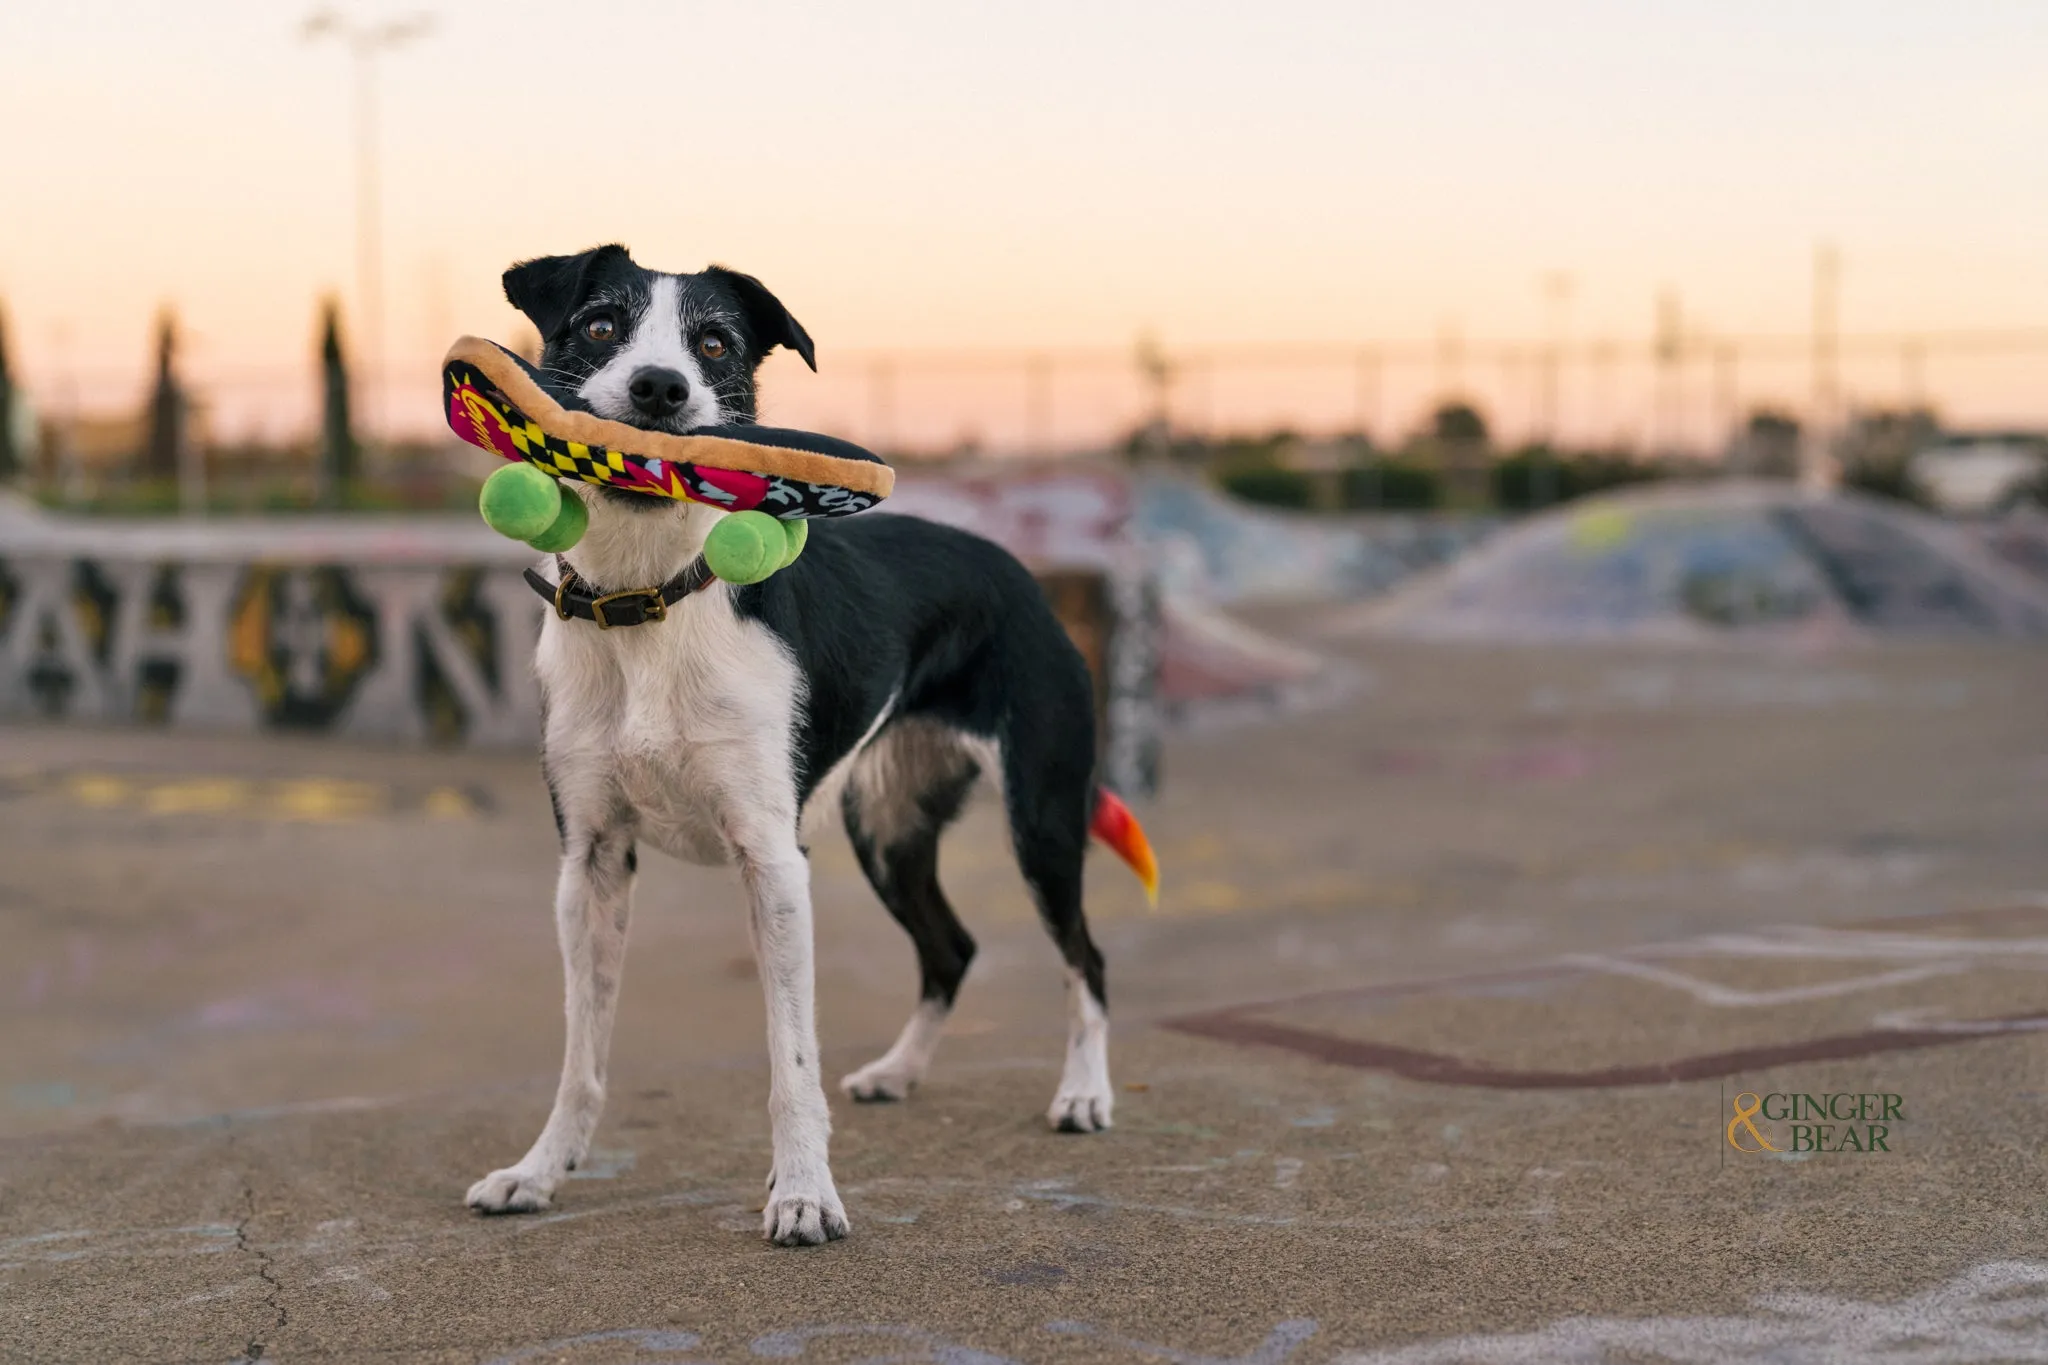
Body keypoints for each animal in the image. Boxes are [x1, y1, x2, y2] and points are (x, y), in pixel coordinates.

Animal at [462, 245, 1155, 1252]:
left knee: (1085, 958)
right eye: (598, 324)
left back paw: (1084, 1094)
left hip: (1043, 815)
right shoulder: (589, 861)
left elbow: (791, 1060)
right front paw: (540, 1171)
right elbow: (581, 1054)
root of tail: (1017, 570)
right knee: (953, 948)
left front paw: (802, 1193)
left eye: (715, 342)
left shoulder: (772, 860)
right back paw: (898, 1071)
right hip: (888, 827)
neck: (649, 599)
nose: (661, 387)